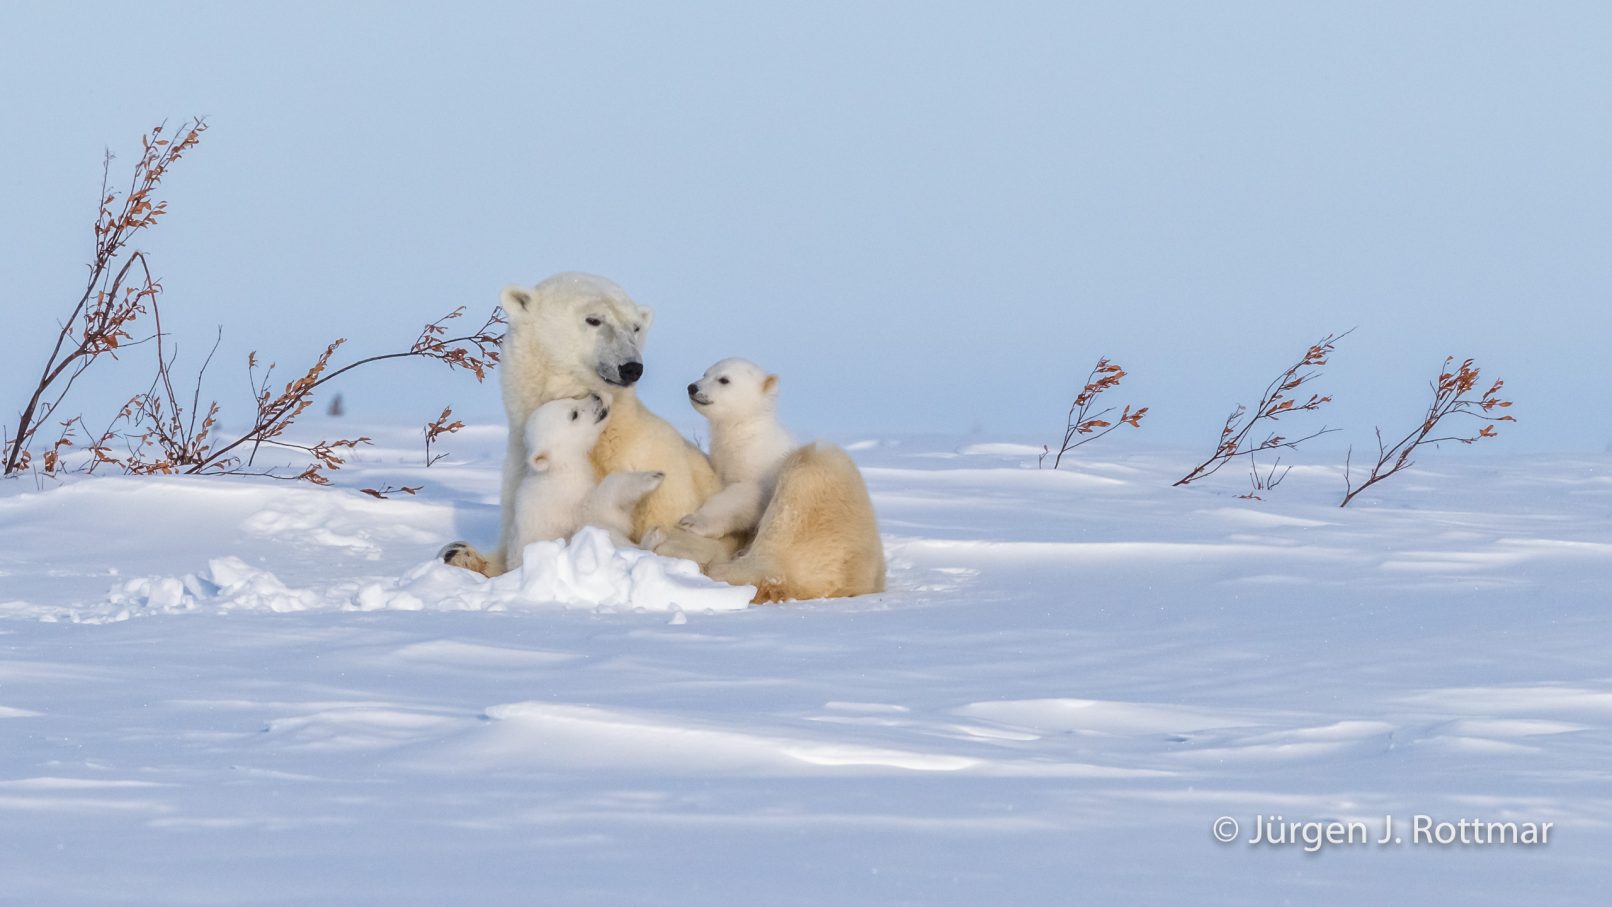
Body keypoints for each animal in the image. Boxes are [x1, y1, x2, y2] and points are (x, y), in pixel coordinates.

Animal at [506, 394, 665, 570]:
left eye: (571, 398)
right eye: (574, 414)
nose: (596, 396)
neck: (559, 468)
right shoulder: (567, 499)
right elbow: (599, 509)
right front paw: (651, 476)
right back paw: (653, 537)